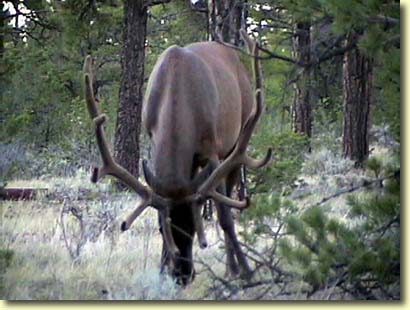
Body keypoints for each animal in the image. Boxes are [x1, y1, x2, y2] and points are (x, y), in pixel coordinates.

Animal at [82, 31, 272, 286]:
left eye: (193, 227)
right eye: (163, 230)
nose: (182, 275)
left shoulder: (212, 150)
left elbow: (224, 216)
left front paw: (245, 270)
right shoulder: (153, 138)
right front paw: (162, 269)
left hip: (237, 139)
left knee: (231, 196)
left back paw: (231, 267)